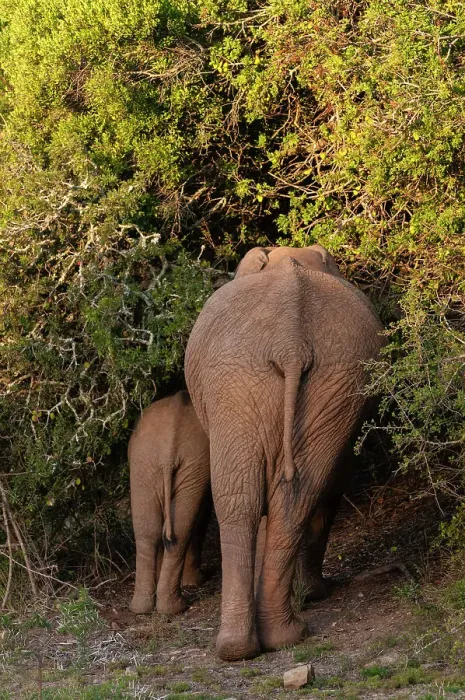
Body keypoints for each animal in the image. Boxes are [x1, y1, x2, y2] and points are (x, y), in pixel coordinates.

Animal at [128, 390, 211, 616]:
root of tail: (168, 450)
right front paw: (196, 581)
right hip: (182, 463)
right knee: (180, 529)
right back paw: (174, 607)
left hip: (146, 463)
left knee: (148, 532)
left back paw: (145, 608)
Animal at [185, 244, 384, 661]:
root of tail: (291, 344)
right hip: (290, 381)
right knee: (282, 497)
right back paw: (266, 641)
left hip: (278, 382)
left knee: (257, 499)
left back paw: (261, 640)